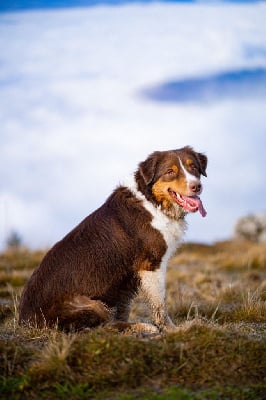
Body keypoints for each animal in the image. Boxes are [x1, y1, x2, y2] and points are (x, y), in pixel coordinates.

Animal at [19, 146, 208, 332]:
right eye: (170, 171)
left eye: (193, 167)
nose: (196, 186)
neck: (153, 202)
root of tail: (24, 320)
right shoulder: (151, 265)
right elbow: (159, 304)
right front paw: (172, 329)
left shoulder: (128, 280)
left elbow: (124, 308)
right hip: (90, 304)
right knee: (103, 326)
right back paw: (142, 327)